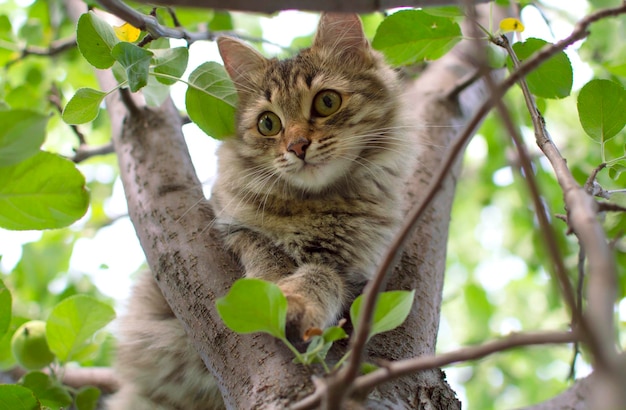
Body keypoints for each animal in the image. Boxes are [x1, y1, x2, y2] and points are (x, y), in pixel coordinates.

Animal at [106, 12, 410, 410]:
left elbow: (320, 276)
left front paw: (297, 302)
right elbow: (267, 253)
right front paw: (277, 294)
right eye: (269, 124)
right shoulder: (232, 227)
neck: (317, 202)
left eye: (327, 102)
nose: (297, 146)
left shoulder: (354, 273)